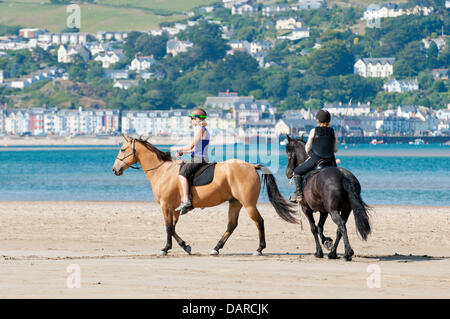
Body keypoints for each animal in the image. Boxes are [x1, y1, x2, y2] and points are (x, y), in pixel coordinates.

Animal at [111, 136, 298, 256]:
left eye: (122, 149)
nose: (114, 169)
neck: (162, 171)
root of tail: (252, 166)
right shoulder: (175, 208)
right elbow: (173, 227)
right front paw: (185, 246)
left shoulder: (166, 206)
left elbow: (168, 227)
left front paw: (166, 248)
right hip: (235, 202)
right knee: (231, 225)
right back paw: (216, 247)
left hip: (248, 204)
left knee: (259, 221)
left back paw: (259, 249)